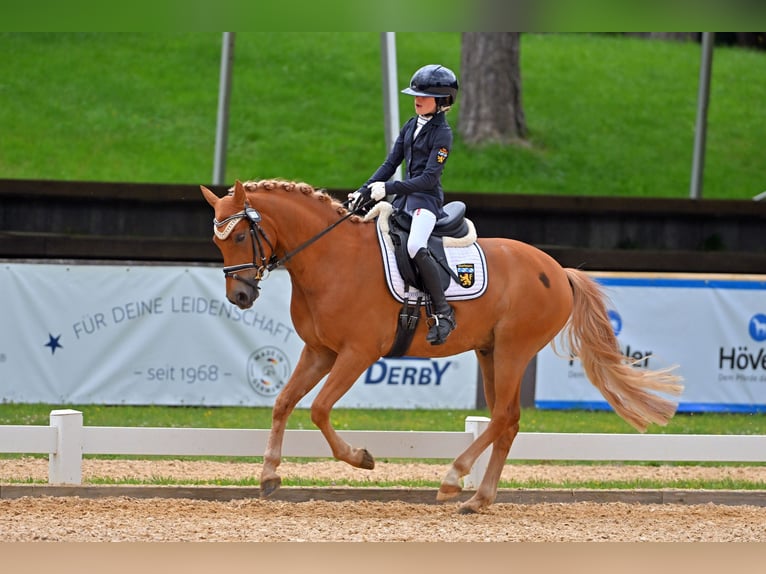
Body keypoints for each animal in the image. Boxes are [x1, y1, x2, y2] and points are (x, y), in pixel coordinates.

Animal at [201, 178, 688, 516]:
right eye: (217, 241)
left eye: (240, 237)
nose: (239, 296)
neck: (330, 258)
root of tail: (557, 269)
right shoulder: (319, 351)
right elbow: (283, 402)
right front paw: (269, 474)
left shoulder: (357, 354)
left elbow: (319, 409)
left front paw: (361, 459)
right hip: (490, 352)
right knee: (508, 421)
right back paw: (478, 499)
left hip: (513, 350)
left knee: (503, 416)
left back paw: (454, 479)